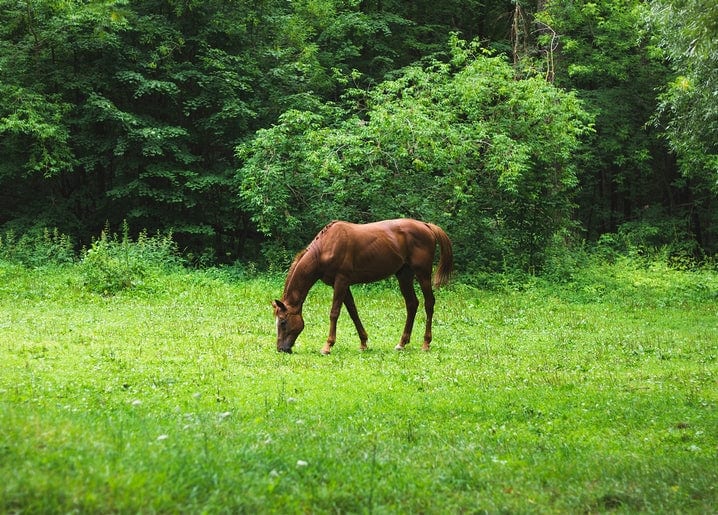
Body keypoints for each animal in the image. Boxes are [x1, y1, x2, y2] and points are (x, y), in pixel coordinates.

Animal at [272, 218, 453, 354]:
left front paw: (327, 346)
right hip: (404, 275)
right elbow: (353, 312)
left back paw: (426, 343)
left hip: (423, 274)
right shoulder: (342, 285)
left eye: (283, 322)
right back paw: (401, 343)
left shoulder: (341, 281)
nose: (281, 349)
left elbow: (334, 313)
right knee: (412, 304)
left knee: (429, 303)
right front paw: (363, 343)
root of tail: (426, 226)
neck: (325, 247)